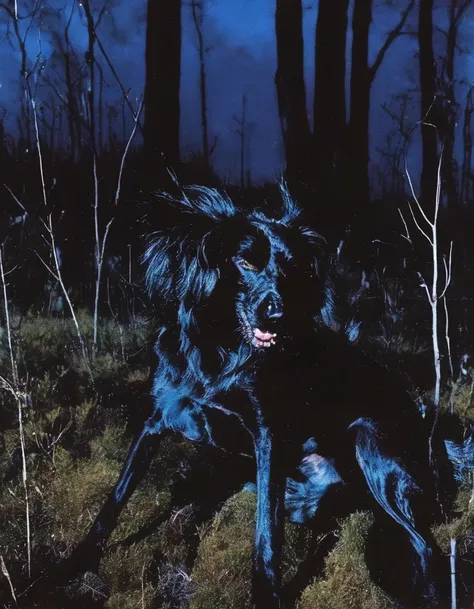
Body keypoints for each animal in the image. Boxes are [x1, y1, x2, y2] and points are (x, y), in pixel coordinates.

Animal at [30, 185, 460, 608]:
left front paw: (266, 594)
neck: (220, 355)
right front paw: (72, 566)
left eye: (292, 270)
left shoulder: (267, 436)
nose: (279, 315)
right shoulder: (156, 420)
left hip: (368, 442)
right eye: (245, 263)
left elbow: (266, 538)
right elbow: (114, 501)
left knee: (424, 546)